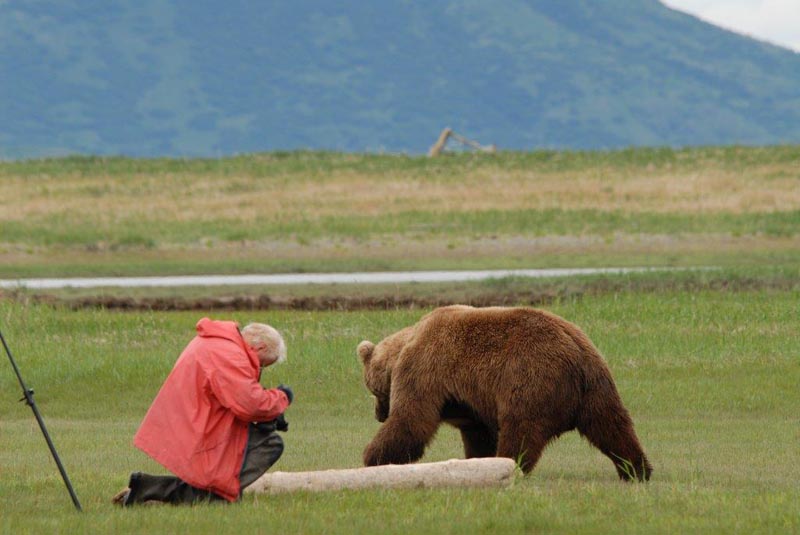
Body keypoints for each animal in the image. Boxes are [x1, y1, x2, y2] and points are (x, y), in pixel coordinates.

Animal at [357, 305, 652, 481]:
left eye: (372, 388)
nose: (378, 414)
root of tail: (576, 350)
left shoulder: (426, 368)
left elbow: (412, 420)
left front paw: (373, 458)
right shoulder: (470, 402)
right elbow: (479, 435)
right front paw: (476, 463)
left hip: (531, 379)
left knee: (520, 431)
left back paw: (511, 467)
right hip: (596, 388)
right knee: (612, 427)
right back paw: (636, 470)